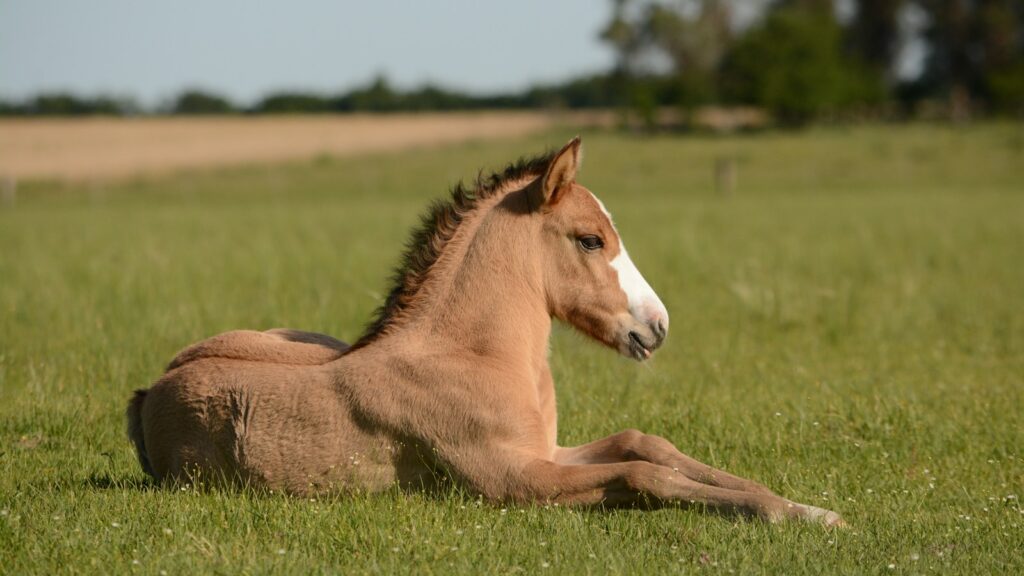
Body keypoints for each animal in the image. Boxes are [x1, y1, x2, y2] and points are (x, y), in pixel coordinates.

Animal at [127, 137, 843, 526]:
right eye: (590, 239)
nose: (657, 326)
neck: (471, 356)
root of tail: (149, 390)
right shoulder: (513, 480)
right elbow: (645, 476)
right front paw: (791, 514)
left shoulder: (547, 452)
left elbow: (647, 444)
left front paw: (804, 506)